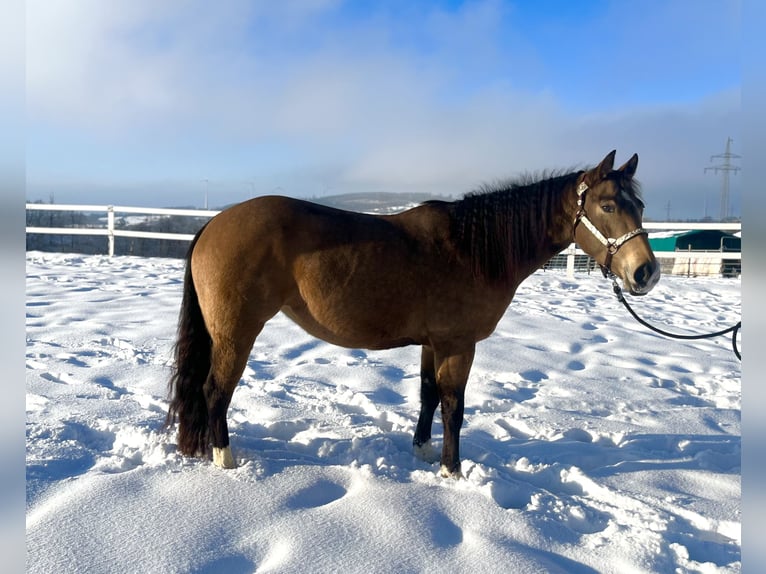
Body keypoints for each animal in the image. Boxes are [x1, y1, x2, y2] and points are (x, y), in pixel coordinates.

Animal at [165, 150, 660, 478]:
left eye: (640, 205)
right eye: (608, 205)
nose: (646, 272)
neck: (472, 250)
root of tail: (213, 223)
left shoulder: (431, 342)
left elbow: (427, 396)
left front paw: (422, 454)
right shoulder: (458, 345)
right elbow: (454, 407)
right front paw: (451, 470)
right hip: (236, 332)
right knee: (215, 391)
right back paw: (225, 459)